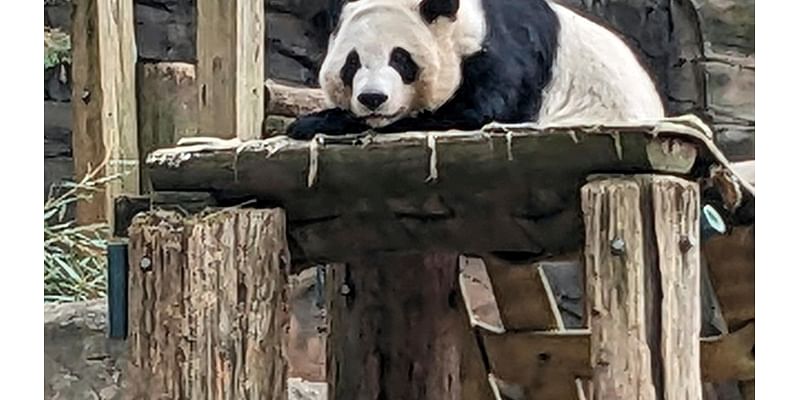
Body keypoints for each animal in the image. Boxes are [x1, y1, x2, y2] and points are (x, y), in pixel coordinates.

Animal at [284, 0, 664, 140]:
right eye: (352, 63)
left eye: (401, 60)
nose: (373, 98)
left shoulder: (506, 56)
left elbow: (475, 113)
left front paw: (315, 122)